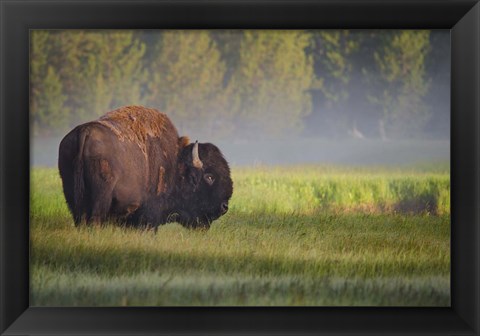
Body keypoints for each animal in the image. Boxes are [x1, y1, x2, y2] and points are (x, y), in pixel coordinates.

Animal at [57, 106, 233, 230]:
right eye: (209, 176)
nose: (224, 207)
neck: (175, 162)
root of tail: (84, 132)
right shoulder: (149, 214)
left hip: (71, 195)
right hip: (101, 197)